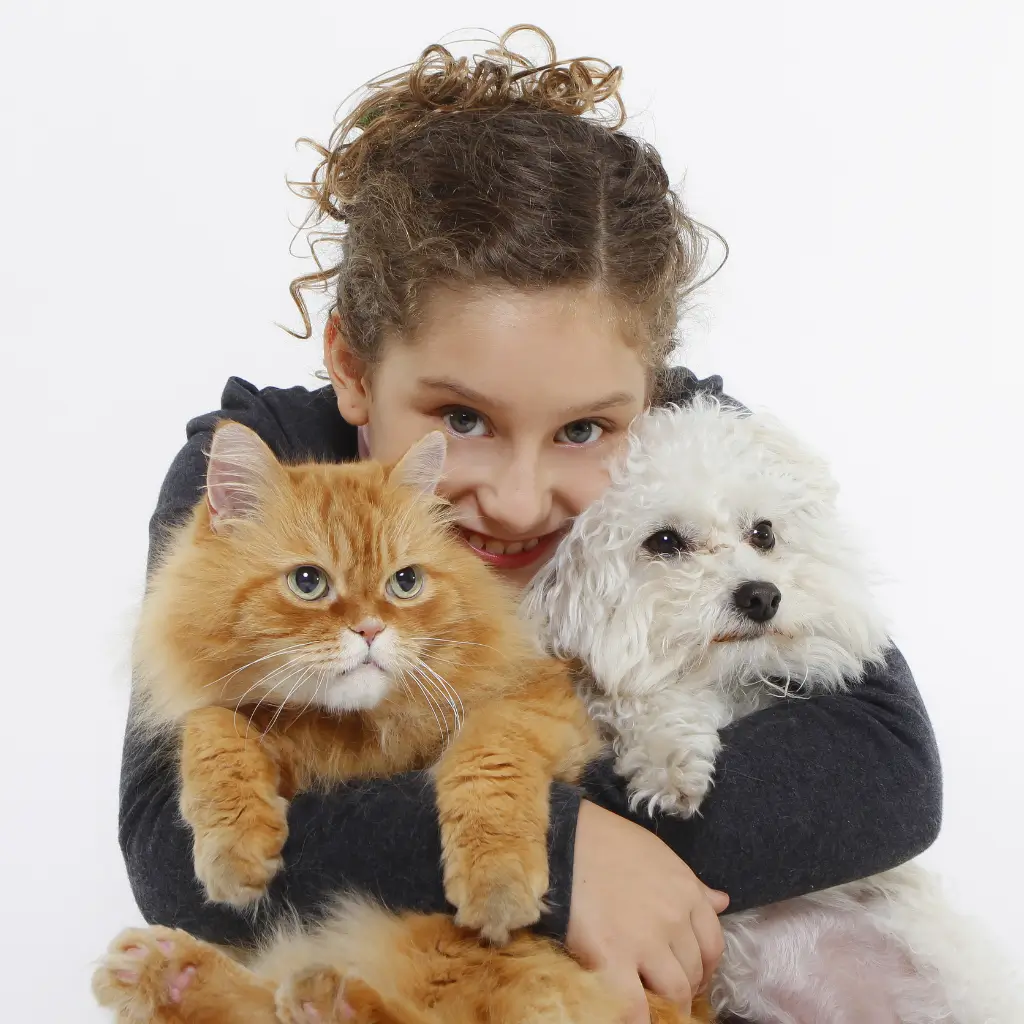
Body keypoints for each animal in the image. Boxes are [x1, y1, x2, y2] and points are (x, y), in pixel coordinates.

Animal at [92, 421, 708, 1024]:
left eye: (405, 583)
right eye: (308, 582)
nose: (370, 631)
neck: (358, 730)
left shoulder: (535, 705)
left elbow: (484, 764)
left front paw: (495, 881)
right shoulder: (264, 731)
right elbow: (215, 728)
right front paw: (234, 853)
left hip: (464, 949)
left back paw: (317, 998)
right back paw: (165, 970)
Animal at [524, 397, 1019, 1024]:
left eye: (763, 533)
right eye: (664, 541)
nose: (761, 595)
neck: (721, 681)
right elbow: (642, 700)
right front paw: (665, 760)